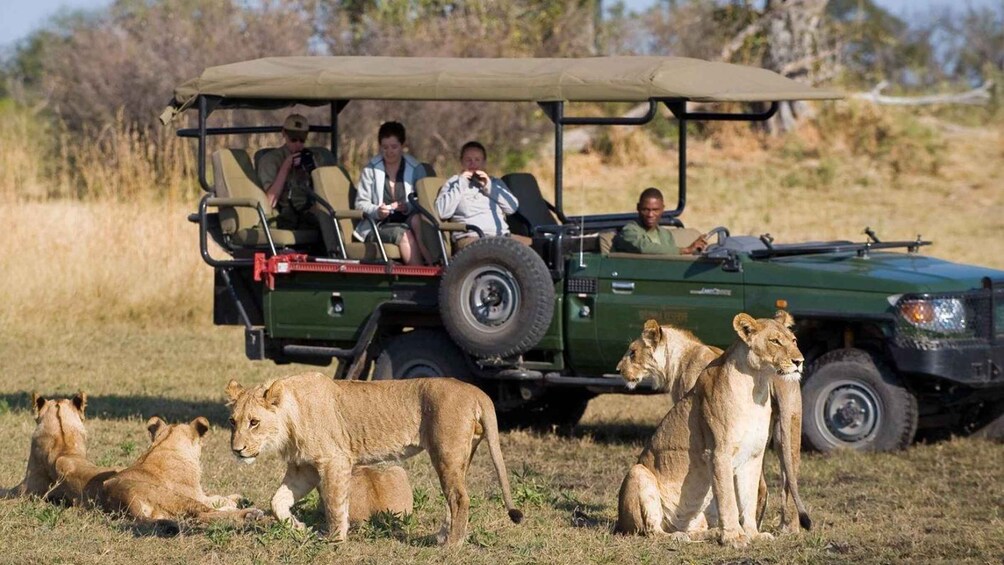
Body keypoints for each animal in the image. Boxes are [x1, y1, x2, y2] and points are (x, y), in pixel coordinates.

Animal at [99, 416, 263, 530]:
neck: (165, 444)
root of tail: (122, 500)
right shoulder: (196, 495)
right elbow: (215, 499)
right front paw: (234, 501)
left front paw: (240, 498)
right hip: (174, 497)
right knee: (203, 514)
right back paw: (250, 513)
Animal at [225, 373, 523, 545]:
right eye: (233, 422)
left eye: (254, 422)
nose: (237, 449)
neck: (289, 420)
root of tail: (476, 391)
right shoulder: (304, 468)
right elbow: (277, 502)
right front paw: (299, 529)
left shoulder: (334, 460)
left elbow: (335, 503)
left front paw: (334, 539)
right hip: (462, 456)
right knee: (454, 497)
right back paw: (442, 537)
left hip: (446, 453)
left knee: (460, 498)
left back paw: (452, 546)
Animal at [614, 311, 804, 547]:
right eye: (775, 341)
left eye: (794, 340)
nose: (799, 361)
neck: (758, 385)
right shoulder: (718, 453)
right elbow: (728, 499)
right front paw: (734, 537)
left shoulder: (753, 456)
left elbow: (748, 499)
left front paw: (752, 534)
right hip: (637, 472)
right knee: (652, 530)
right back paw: (679, 536)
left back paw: (706, 534)